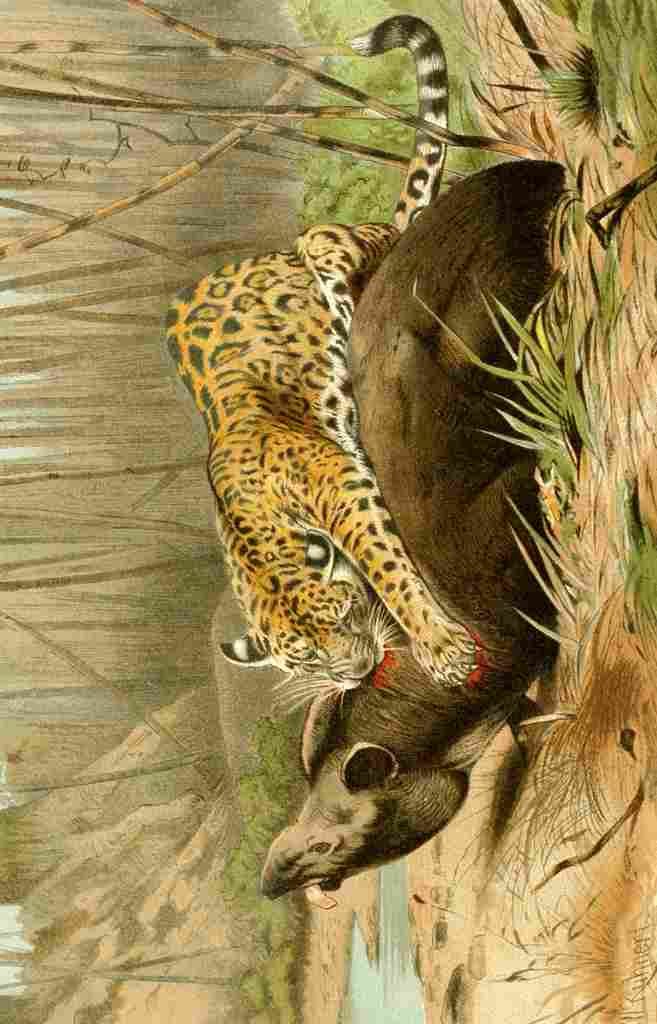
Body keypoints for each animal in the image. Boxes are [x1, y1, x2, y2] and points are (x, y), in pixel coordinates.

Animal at [166, 15, 479, 704]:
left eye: (342, 616)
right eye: (307, 661)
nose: (356, 673)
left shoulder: (343, 488)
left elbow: (387, 567)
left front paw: (440, 645)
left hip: (327, 244)